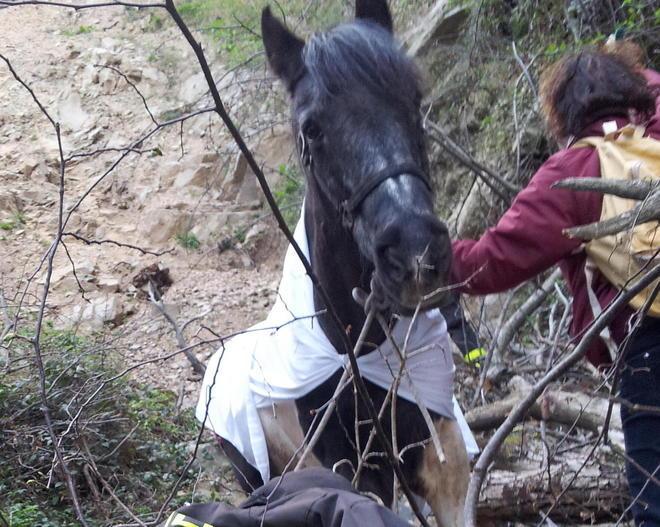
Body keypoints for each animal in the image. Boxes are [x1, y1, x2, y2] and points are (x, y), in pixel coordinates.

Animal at [215, 2, 470, 525]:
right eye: (312, 128)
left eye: (414, 99)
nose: (415, 251)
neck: (356, 357)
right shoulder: (358, 480)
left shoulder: (448, 476)